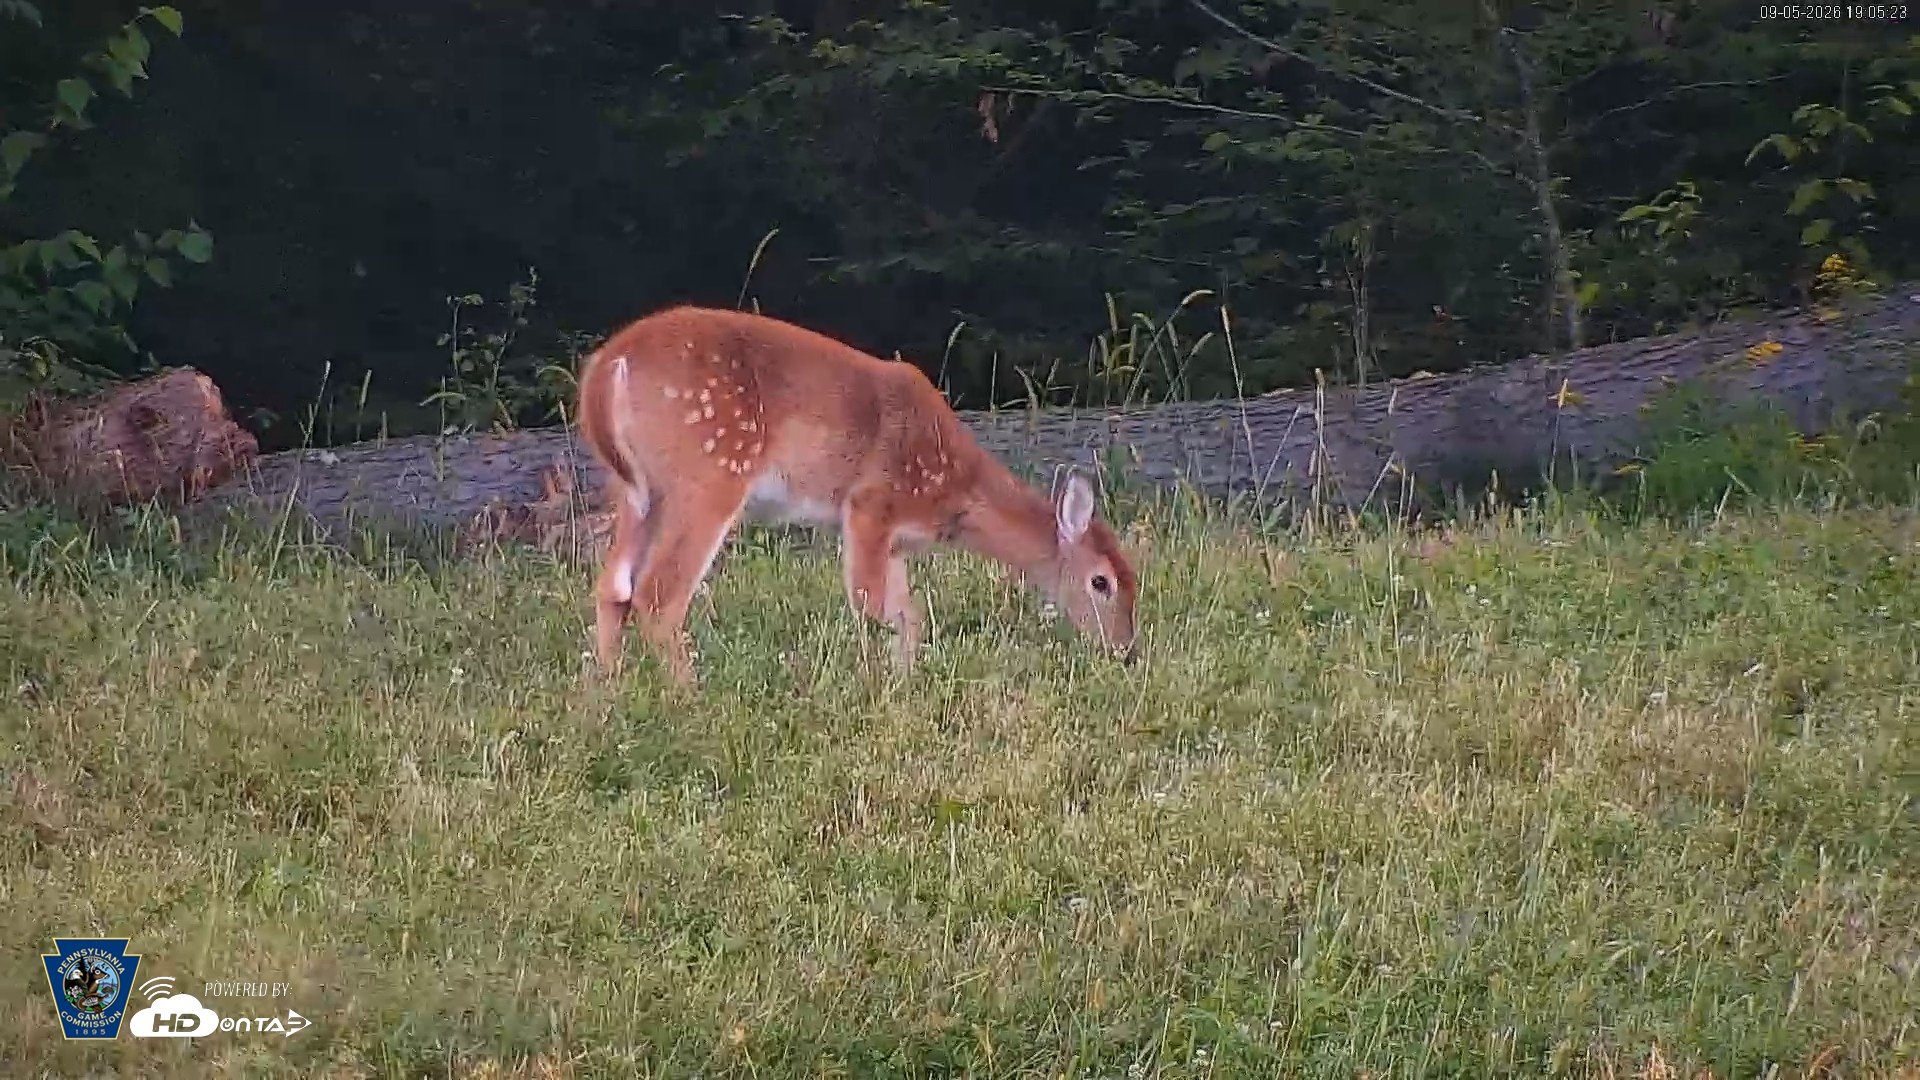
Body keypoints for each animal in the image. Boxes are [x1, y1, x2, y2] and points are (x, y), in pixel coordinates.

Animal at [572, 305, 1140, 688]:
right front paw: (873, 685)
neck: (953, 494)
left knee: (613, 588)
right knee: (658, 595)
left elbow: (910, 615)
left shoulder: (897, 542)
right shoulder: (871, 503)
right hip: (709, 471)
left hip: (637, 490)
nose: (1127, 652)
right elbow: (872, 605)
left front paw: (903, 684)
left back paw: (603, 699)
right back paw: (688, 698)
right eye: (1102, 583)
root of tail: (610, 364)